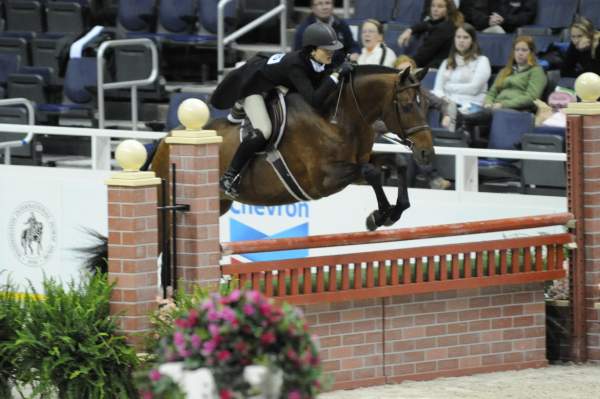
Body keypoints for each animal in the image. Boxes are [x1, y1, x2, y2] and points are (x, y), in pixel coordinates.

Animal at [152, 66, 434, 231]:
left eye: (428, 104)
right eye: (408, 106)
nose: (426, 153)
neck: (338, 117)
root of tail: (165, 139)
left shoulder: (360, 160)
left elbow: (396, 163)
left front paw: (395, 211)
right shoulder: (324, 180)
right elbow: (371, 172)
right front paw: (379, 216)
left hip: (219, 204)